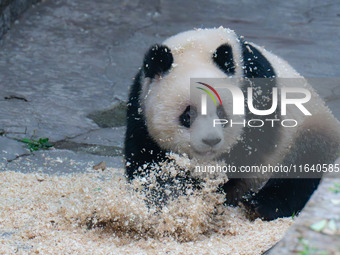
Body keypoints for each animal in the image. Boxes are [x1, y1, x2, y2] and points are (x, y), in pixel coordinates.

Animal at [124, 26, 340, 220]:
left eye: (221, 113)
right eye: (188, 115)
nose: (211, 141)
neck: (196, 47)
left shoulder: (257, 86)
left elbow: (254, 144)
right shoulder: (139, 103)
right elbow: (145, 155)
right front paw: (165, 196)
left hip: (311, 128)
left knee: (303, 167)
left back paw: (261, 205)